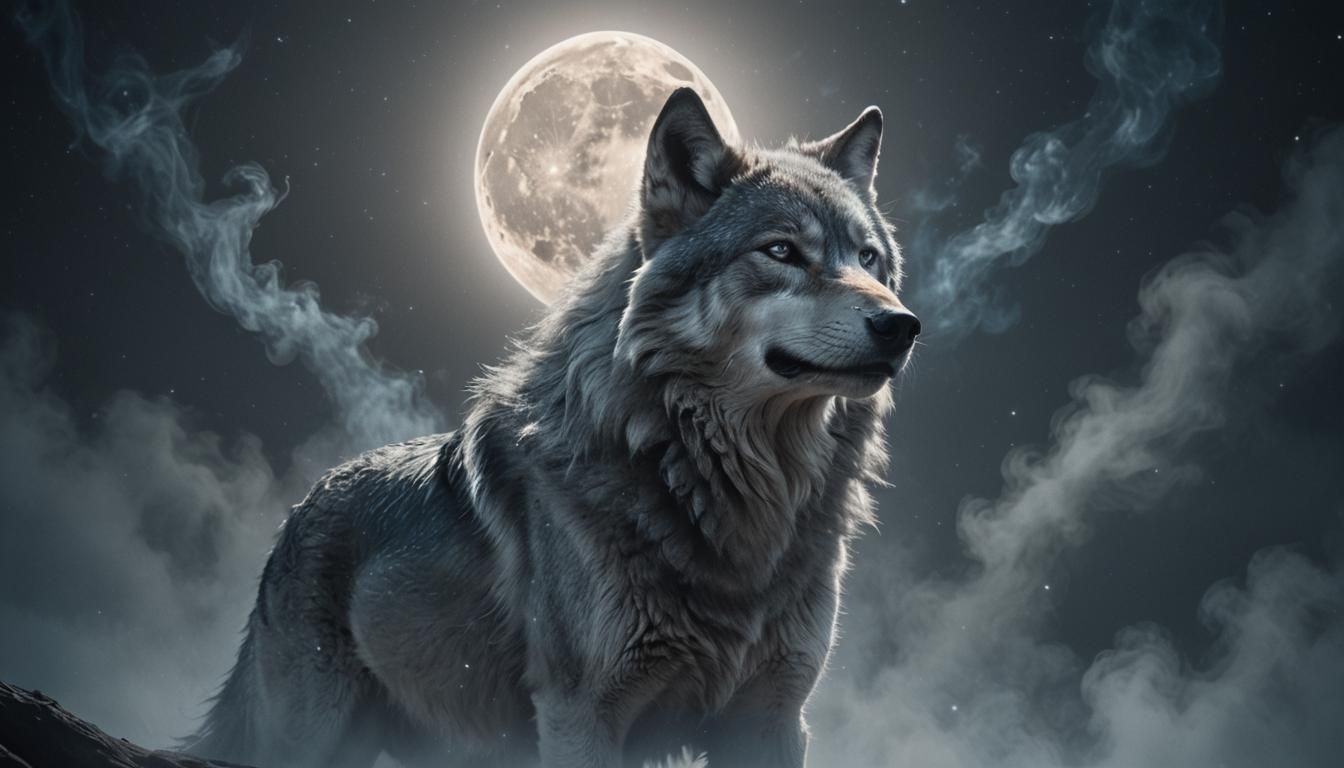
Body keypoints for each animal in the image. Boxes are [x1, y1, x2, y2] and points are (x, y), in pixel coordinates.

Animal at [185, 88, 920, 768]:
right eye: (782, 251)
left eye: (869, 258)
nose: (901, 325)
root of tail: (300, 508)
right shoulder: (581, 713)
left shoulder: (772, 717)